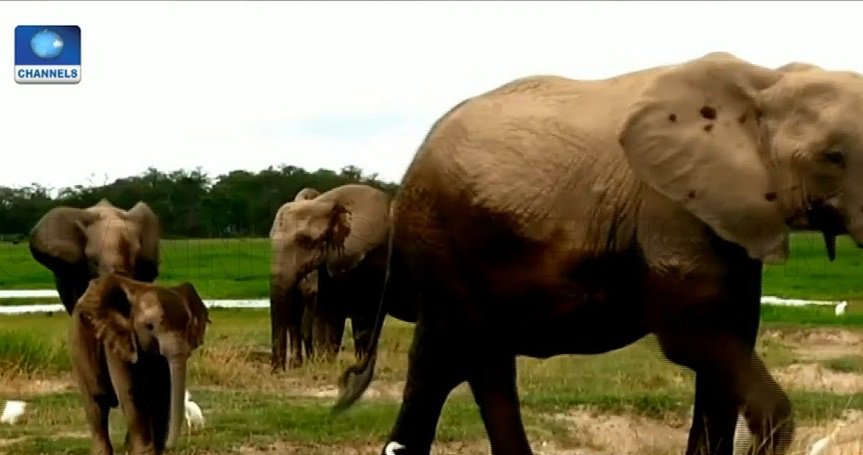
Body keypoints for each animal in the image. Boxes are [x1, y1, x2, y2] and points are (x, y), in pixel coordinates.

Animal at [69, 272, 209, 455]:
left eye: (188, 325)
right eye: (149, 327)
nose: (169, 445)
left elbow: (162, 393)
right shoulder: (117, 339)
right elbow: (131, 391)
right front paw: (145, 452)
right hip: (78, 349)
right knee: (96, 403)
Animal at [269, 183, 395, 371]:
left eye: (307, 242)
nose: (277, 371)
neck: (326, 202)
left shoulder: (372, 258)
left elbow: (361, 318)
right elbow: (329, 314)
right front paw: (325, 364)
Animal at [333, 52, 863, 455]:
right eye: (833, 157)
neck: (766, 80)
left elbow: (731, 332)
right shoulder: (667, 205)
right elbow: (691, 332)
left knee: (469, 359)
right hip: (439, 235)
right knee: (458, 352)